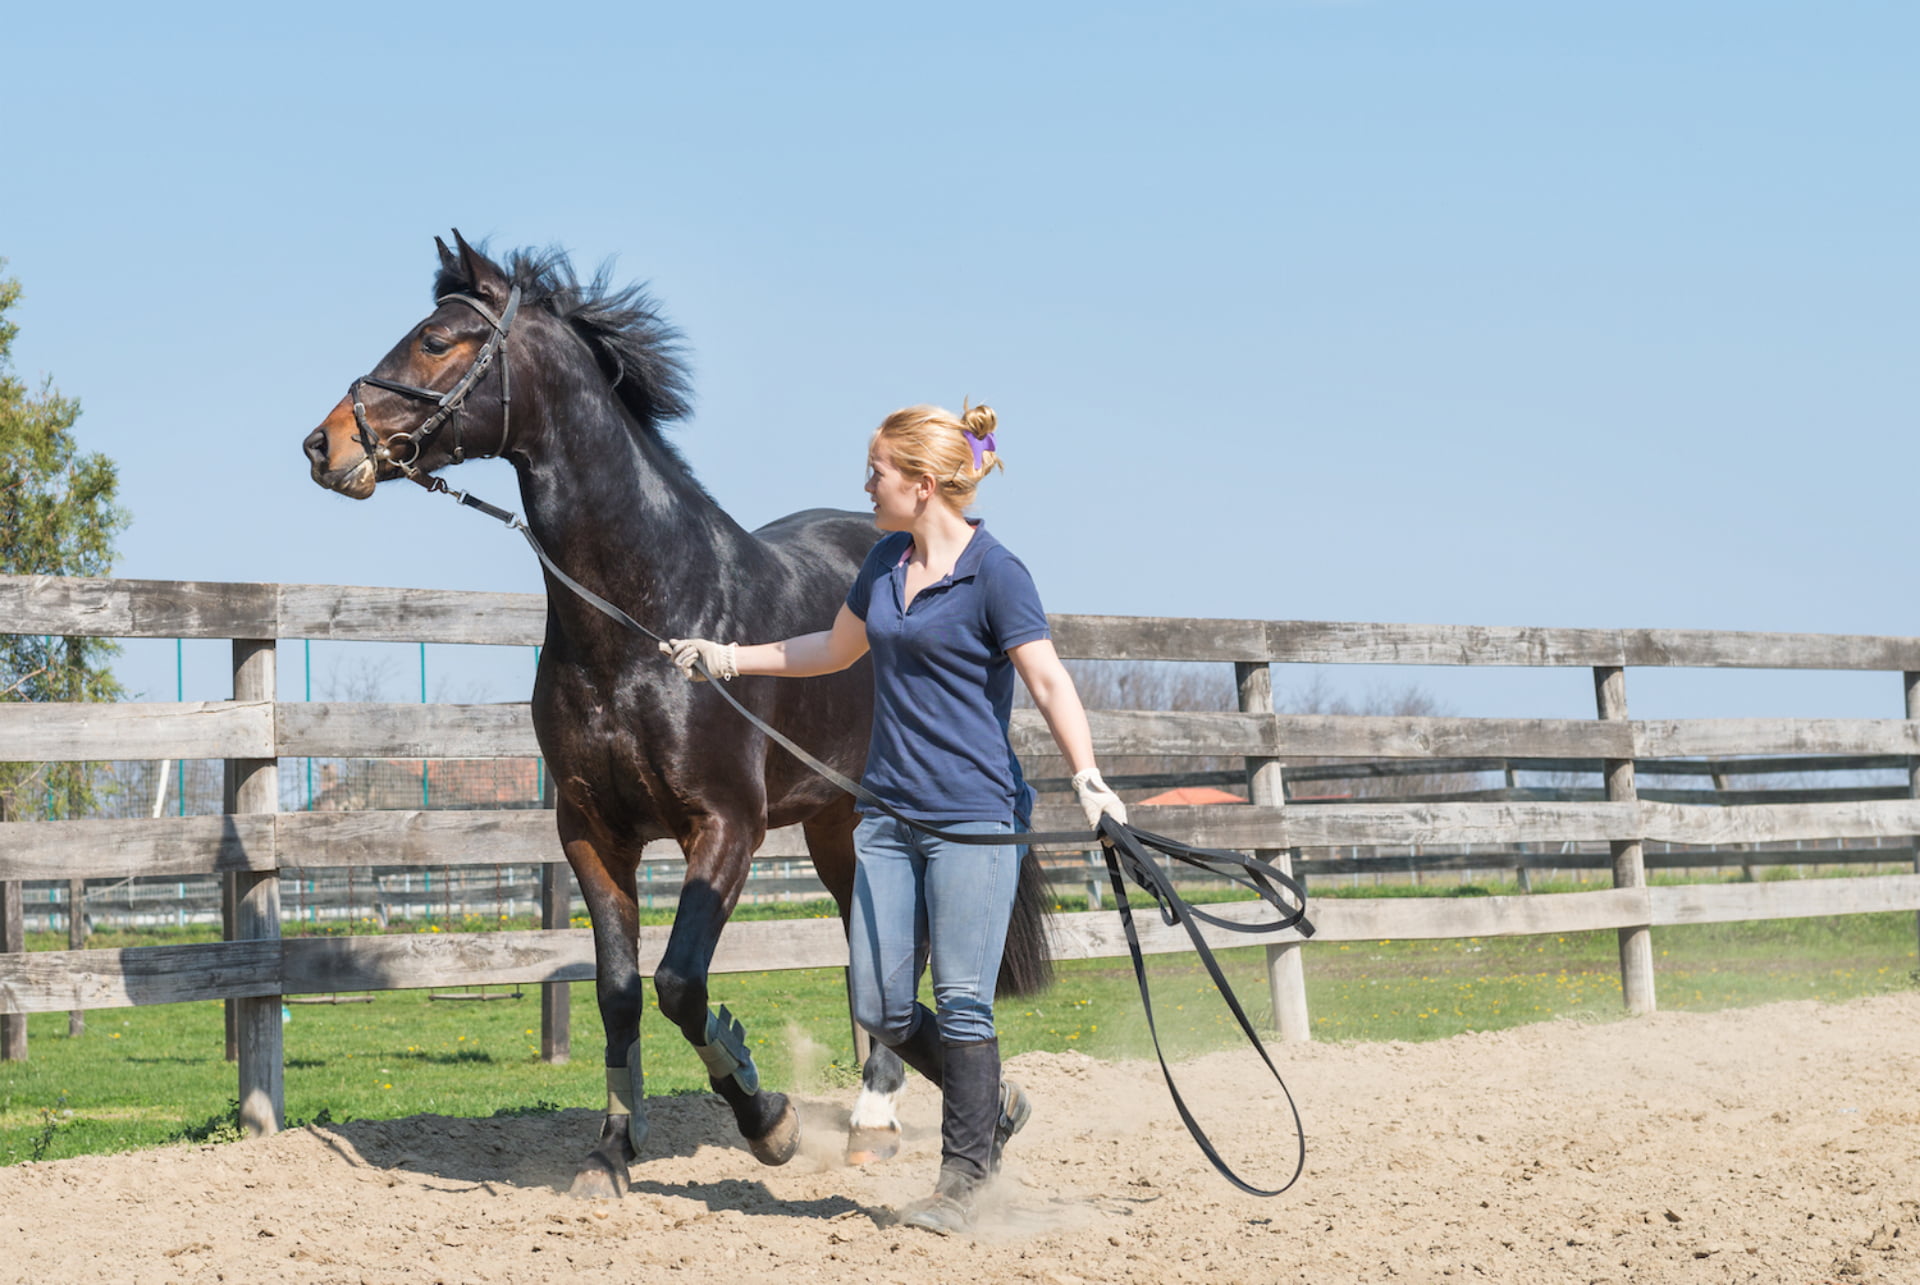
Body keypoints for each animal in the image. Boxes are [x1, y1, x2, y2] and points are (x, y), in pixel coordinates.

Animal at [302, 231, 1054, 1198]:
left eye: (435, 340)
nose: (324, 443)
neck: (644, 618)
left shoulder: (725, 826)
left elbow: (681, 985)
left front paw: (768, 1122)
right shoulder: (592, 831)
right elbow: (620, 991)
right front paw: (610, 1152)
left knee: (903, 956)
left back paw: (882, 1118)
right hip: (835, 826)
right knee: (869, 952)